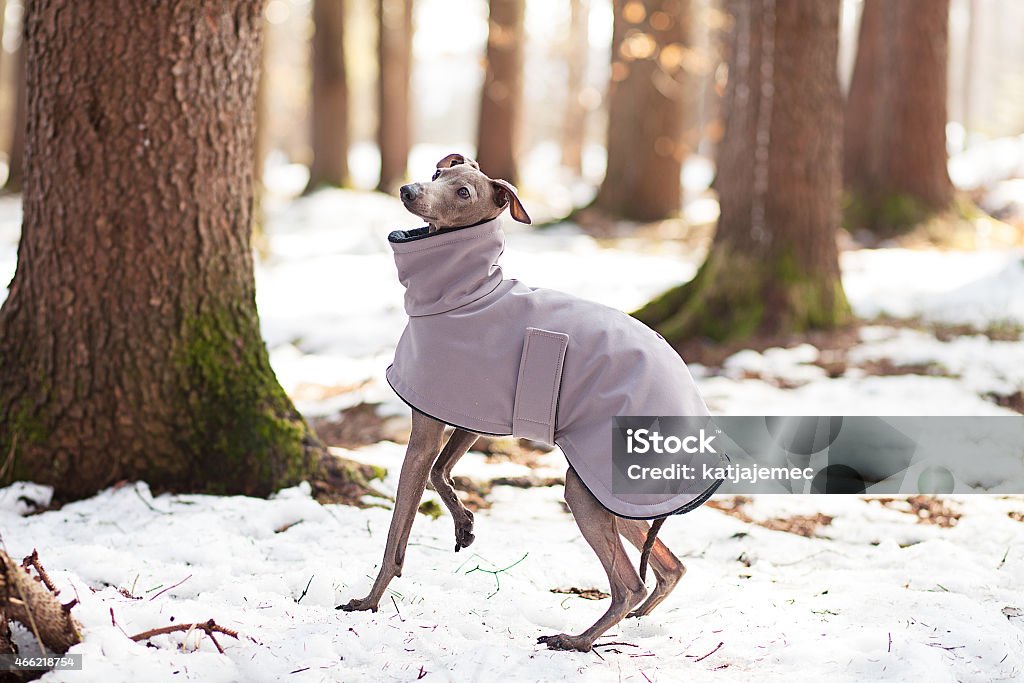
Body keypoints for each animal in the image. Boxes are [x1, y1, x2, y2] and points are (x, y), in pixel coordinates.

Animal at [339, 153, 692, 651]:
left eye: (463, 192)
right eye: (439, 175)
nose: (409, 190)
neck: (464, 295)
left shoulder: (425, 426)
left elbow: (397, 533)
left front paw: (369, 602)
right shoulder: (467, 413)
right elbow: (441, 471)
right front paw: (464, 522)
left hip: (586, 488)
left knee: (629, 583)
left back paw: (576, 640)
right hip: (616, 493)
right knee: (670, 567)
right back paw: (635, 620)